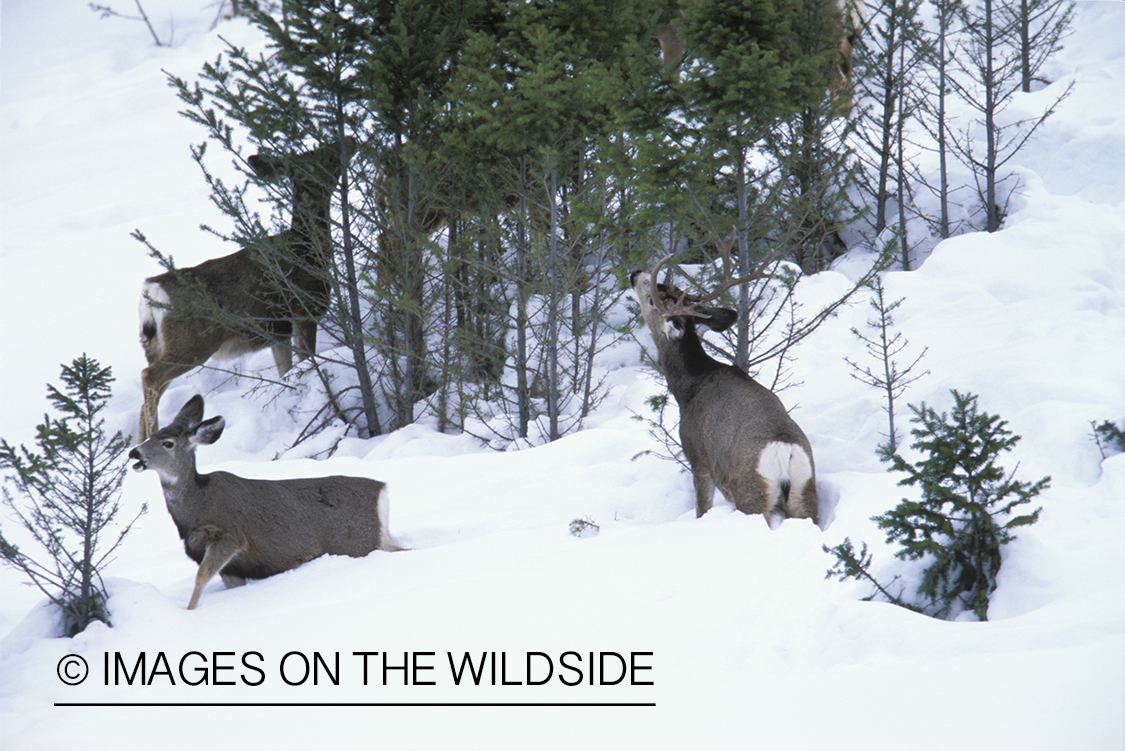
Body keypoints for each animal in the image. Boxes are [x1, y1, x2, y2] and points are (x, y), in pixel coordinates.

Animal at [128, 395, 403, 610]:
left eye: (168, 443)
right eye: (151, 435)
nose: (134, 452)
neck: (196, 506)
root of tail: (382, 490)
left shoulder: (229, 535)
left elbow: (201, 577)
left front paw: (189, 612)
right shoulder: (233, 568)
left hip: (358, 542)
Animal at [137, 141, 353, 441]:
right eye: (325, 155)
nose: (351, 142)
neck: (307, 248)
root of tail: (152, 289)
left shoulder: (279, 330)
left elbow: (286, 370)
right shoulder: (305, 311)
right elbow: (307, 360)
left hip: (156, 345)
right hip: (192, 343)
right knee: (150, 377)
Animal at [630, 236, 818, 527]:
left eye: (651, 299)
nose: (634, 273)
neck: (689, 387)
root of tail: (785, 452)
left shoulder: (697, 456)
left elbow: (702, 508)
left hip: (750, 492)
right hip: (805, 492)